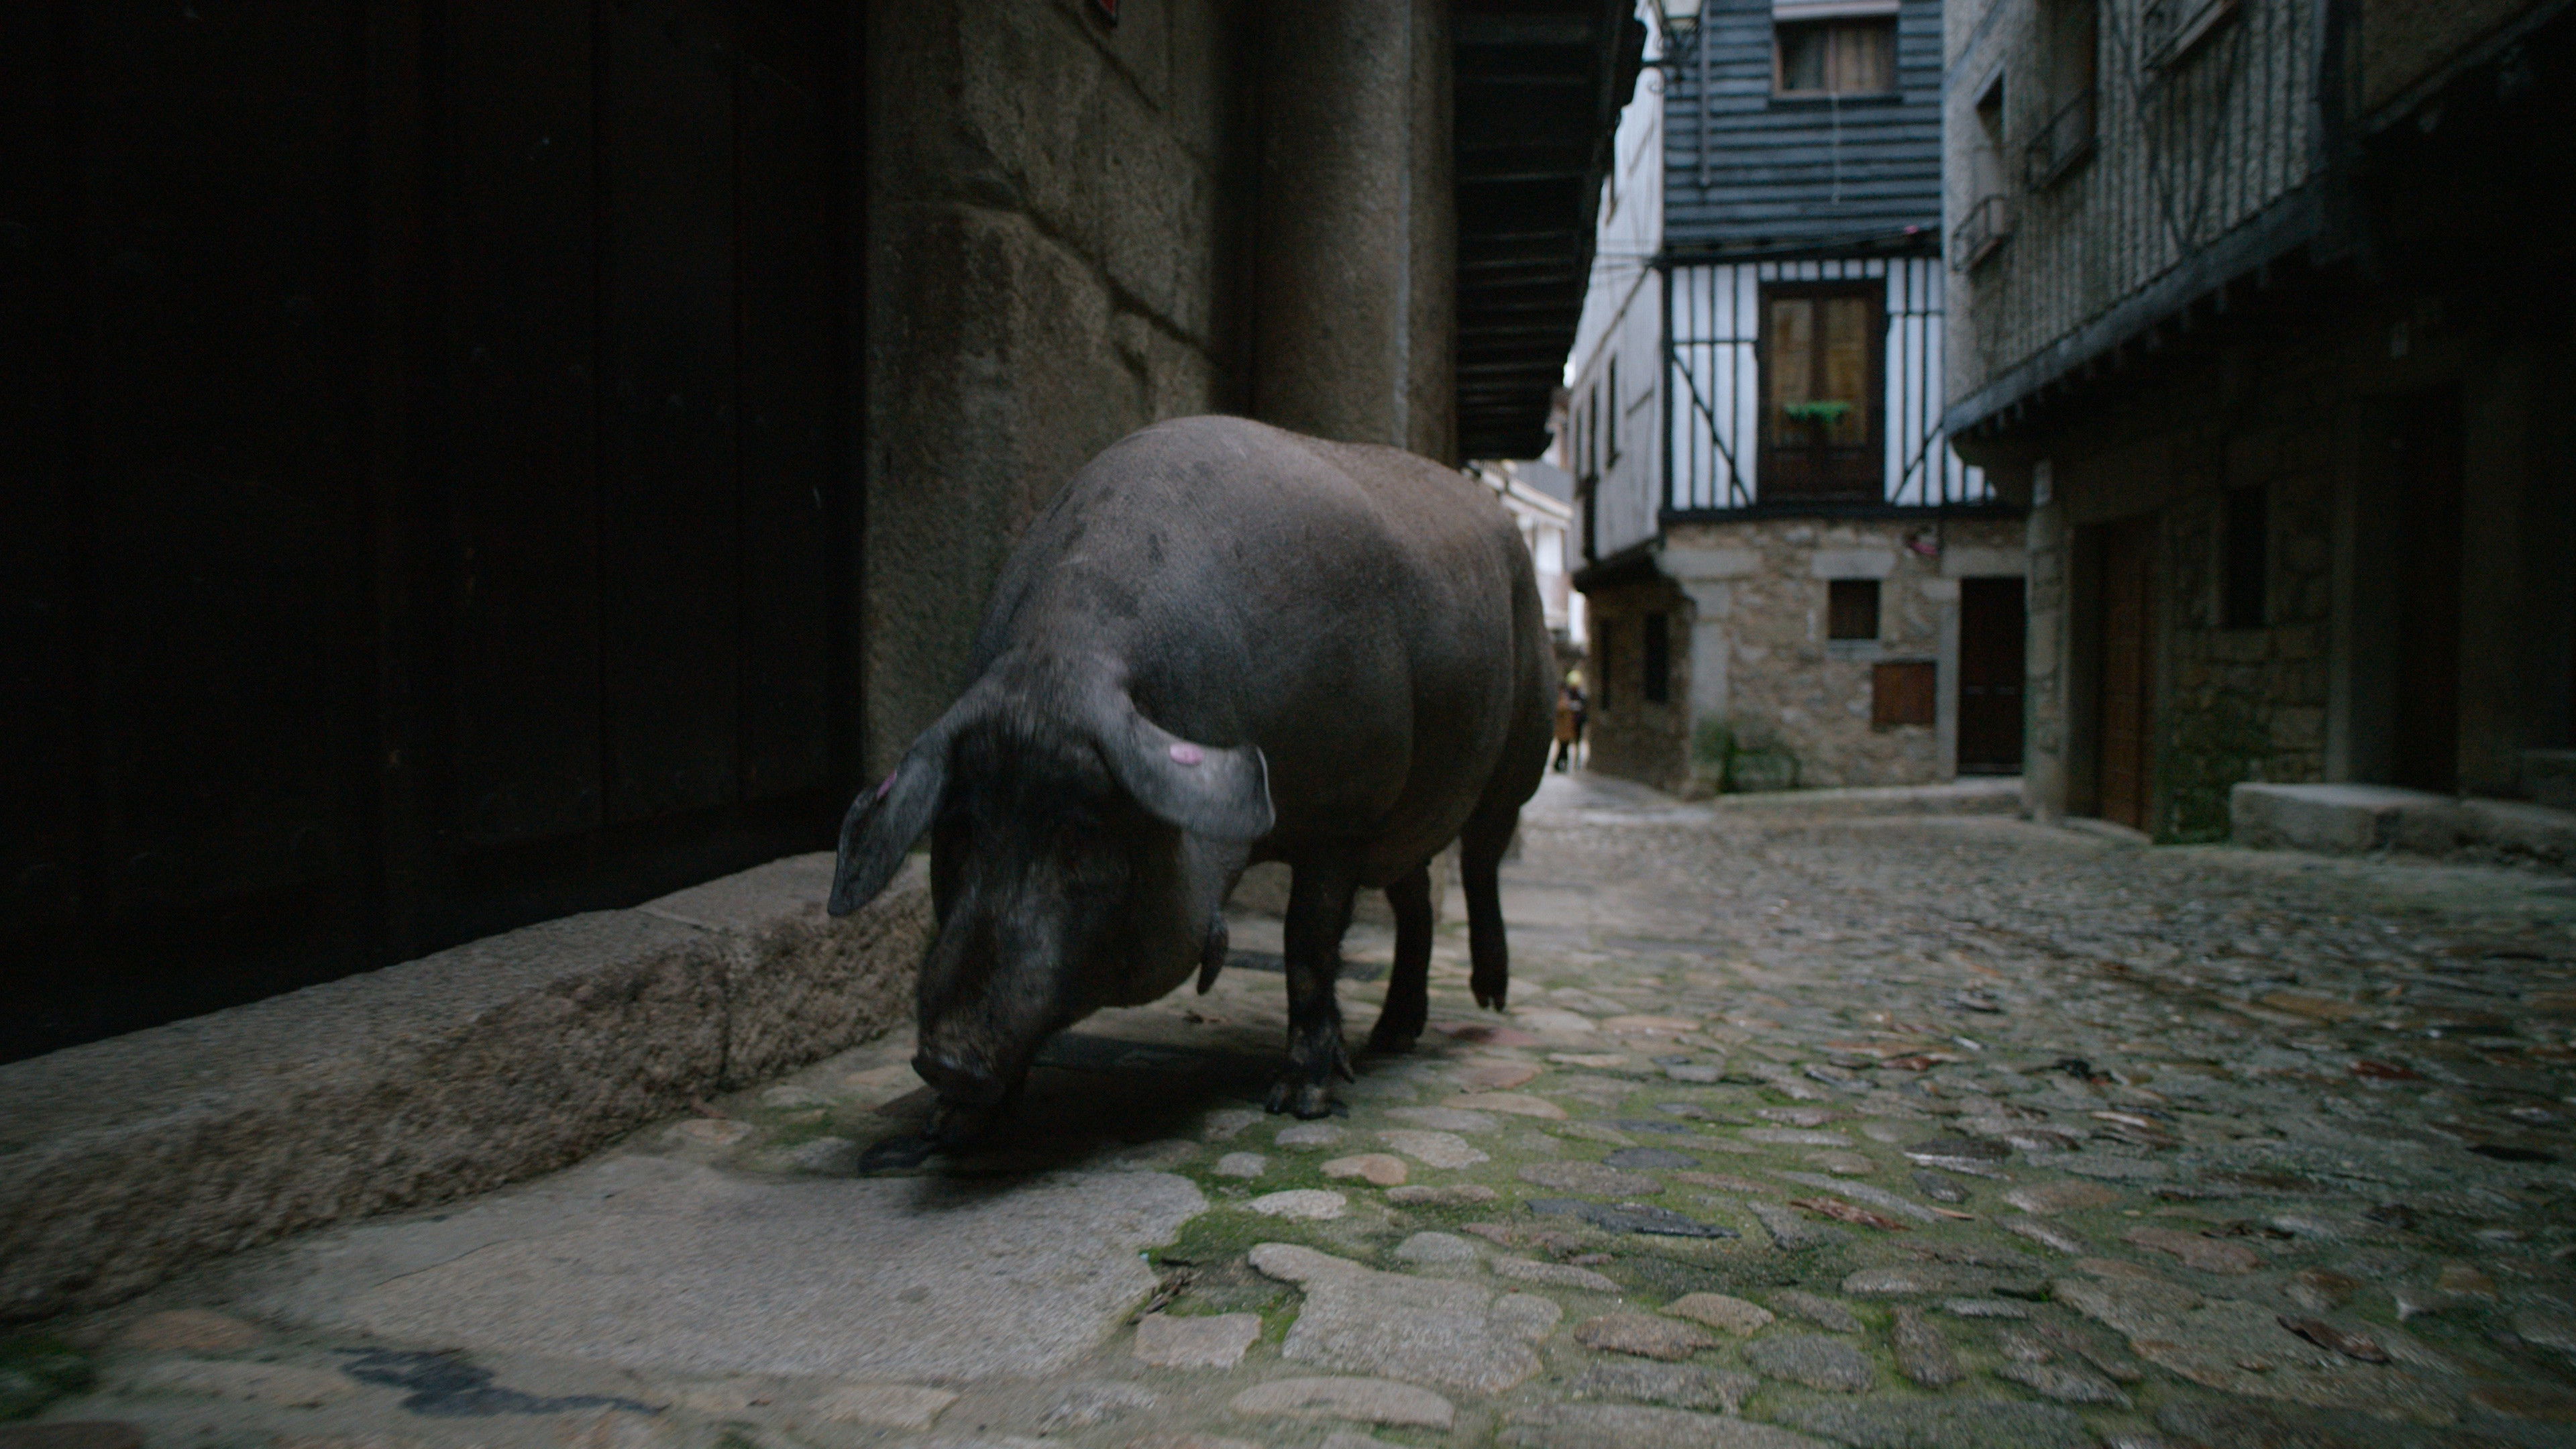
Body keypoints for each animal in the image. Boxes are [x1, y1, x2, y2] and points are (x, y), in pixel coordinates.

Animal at [827, 415, 1552, 1138]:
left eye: (1082, 838)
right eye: (957, 832)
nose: (948, 1061)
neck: (1057, 664)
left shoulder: (1346, 811)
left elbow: (1307, 945)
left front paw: (1300, 1103)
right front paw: (954, 1126)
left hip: (1522, 753)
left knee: (1480, 862)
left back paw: (1489, 999)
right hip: (1409, 817)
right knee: (1418, 896)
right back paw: (1393, 1036)